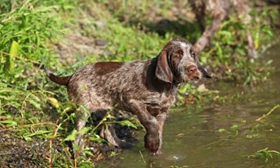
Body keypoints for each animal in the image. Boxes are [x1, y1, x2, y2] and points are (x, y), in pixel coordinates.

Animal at [44, 37, 210, 155]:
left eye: (193, 54)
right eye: (177, 55)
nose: (193, 69)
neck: (165, 86)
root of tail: (72, 75)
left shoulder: (163, 111)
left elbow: (159, 130)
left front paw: (156, 148)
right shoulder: (133, 101)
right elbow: (151, 122)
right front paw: (151, 143)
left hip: (109, 109)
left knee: (106, 131)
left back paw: (121, 144)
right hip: (83, 108)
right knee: (77, 136)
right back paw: (80, 155)